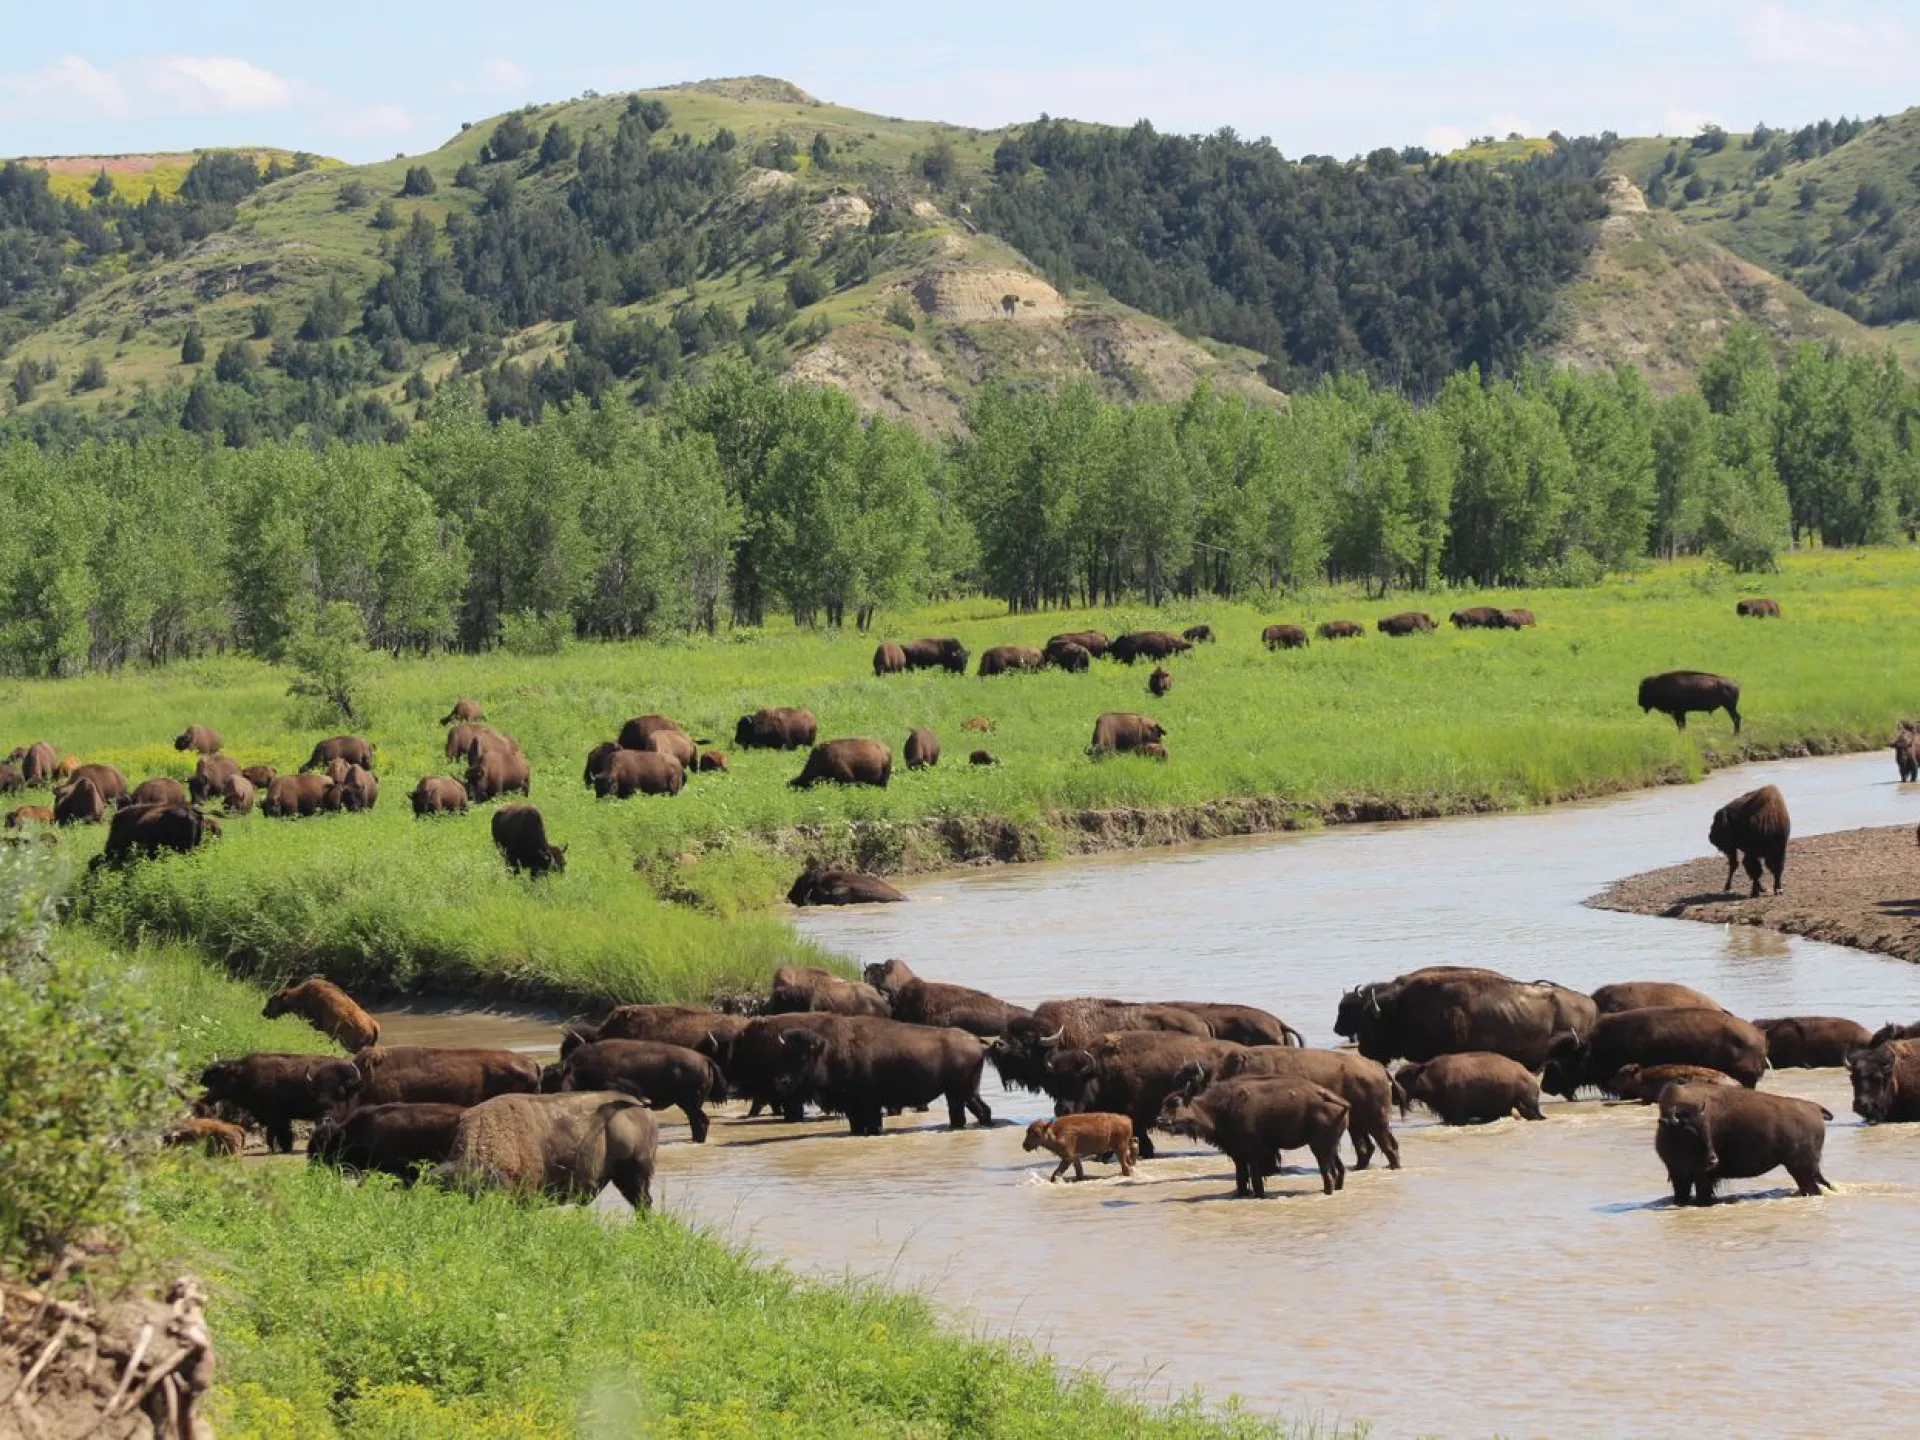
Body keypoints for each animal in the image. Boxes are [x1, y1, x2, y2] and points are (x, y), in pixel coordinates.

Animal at [1656, 1084, 1832, 1204]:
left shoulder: (1702, 1178)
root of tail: (1815, 1108)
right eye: (1688, 1131)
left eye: (1707, 1127)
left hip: (1801, 1169)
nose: (1713, 1160)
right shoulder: (1679, 1176)